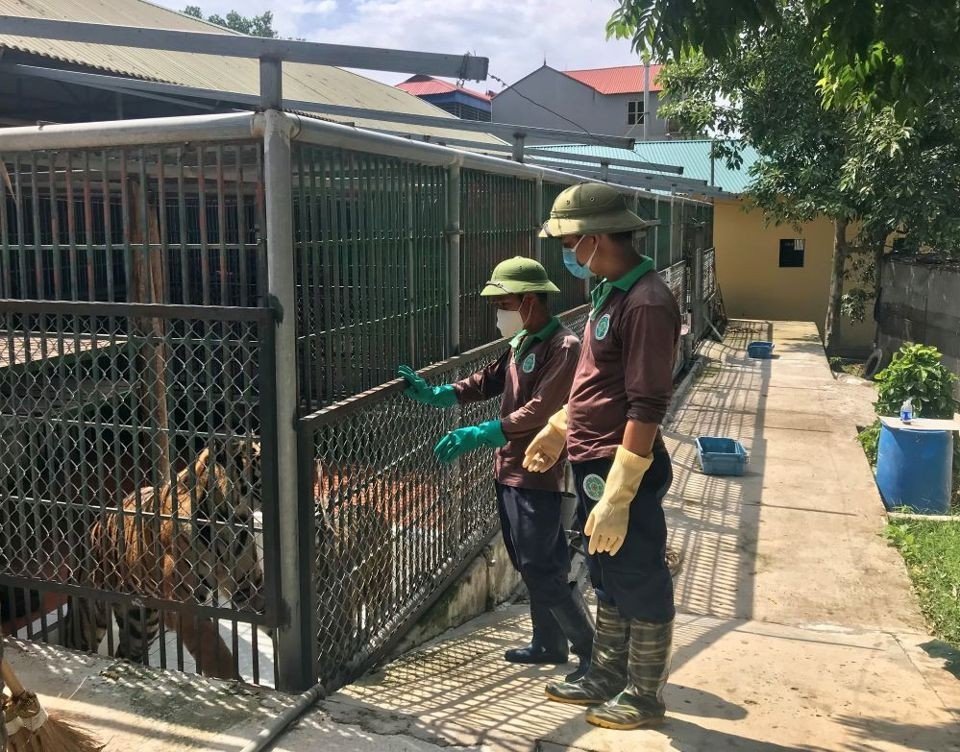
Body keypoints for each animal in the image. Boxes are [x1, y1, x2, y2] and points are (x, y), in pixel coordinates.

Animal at [63, 438, 266, 680]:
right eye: (259, 458)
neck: (229, 521)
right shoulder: (183, 603)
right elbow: (214, 650)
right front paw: (233, 682)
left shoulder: (247, 588)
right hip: (90, 615)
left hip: (141, 622)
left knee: (126, 650)